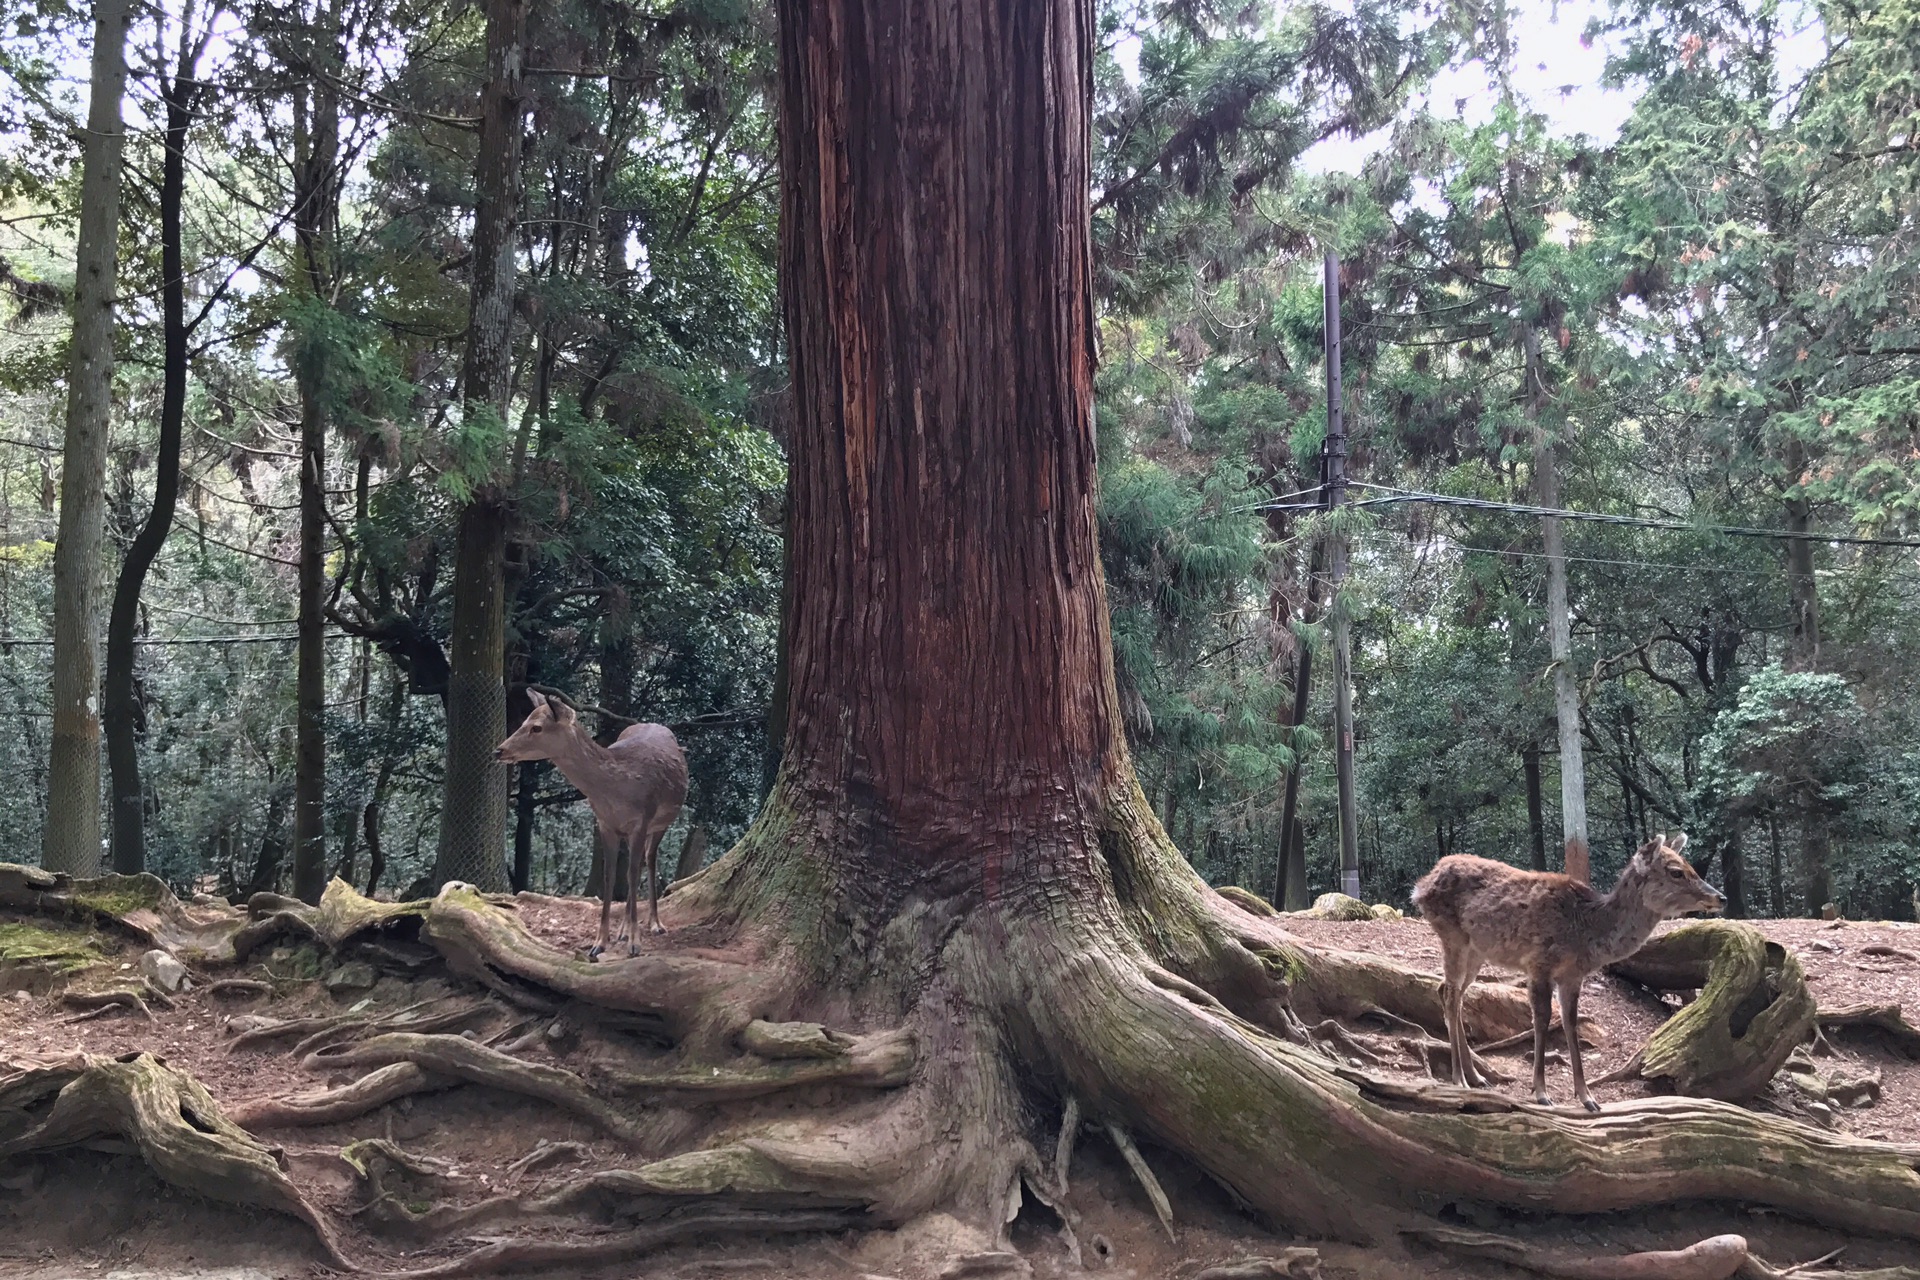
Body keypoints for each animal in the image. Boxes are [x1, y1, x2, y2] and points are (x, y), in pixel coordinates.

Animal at [495, 694, 691, 955]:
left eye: (536, 727)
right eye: (525, 720)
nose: (499, 750)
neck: (616, 790)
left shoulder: (642, 820)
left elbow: (631, 873)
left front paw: (635, 944)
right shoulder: (604, 823)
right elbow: (609, 876)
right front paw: (600, 943)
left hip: (661, 822)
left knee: (648, 860)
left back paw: (655, 924)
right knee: (637, 865)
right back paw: (623, 931)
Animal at [1413, 832, 1728, 1113]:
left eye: (1690, 865)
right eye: (1676, 872)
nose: (1721, 898)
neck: (1586, 929)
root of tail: (1420, 886)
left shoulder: (1573, 975)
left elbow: (1570, 1022)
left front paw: (1587, 1098)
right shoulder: (1539, 963)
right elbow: (1541, 1020)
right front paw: (1541, 1092)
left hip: (1477, 950)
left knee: (1448, 992)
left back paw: (1477, 1076)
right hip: (1452, 936)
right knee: (1451, 994)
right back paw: (1459, 1079)